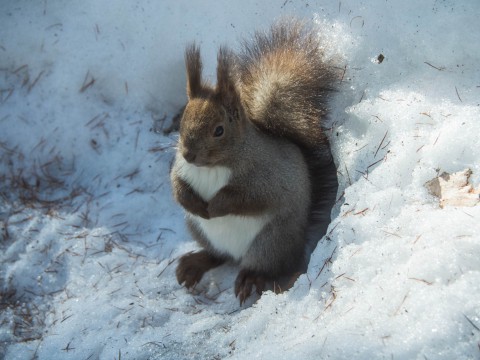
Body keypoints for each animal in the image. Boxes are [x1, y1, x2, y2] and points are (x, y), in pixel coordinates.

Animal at [171, 19, 340, 304]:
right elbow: (176, 184)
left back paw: (250, 279)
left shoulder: (267, 176)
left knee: (261, 266)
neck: (214, 166)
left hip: (271, 242)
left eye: (219, 130)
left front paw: (215, 206)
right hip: (197, 229)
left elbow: (251, 197)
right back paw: (195, 263)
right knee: (218, 256)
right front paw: (192, 202)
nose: (189, 154)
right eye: (182, 121)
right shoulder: (180, 168)